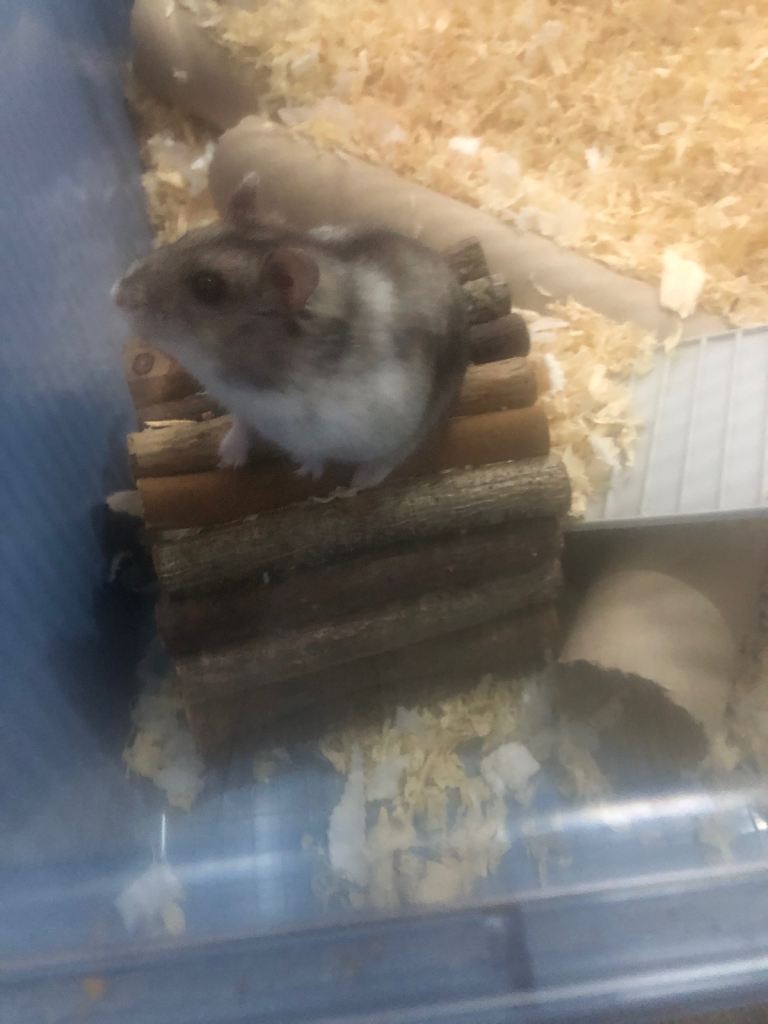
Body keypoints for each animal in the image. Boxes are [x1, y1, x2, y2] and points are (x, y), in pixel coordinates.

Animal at [114, 178, 469, 489]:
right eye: (185, 237)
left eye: (208, 286)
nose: (114, 295)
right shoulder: (242, 407)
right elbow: (242, 424)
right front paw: (227, 458)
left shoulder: (327, 429)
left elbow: (316, 452)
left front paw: (305, 471)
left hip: (420, 416)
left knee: (399, 451)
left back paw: (362, 481)